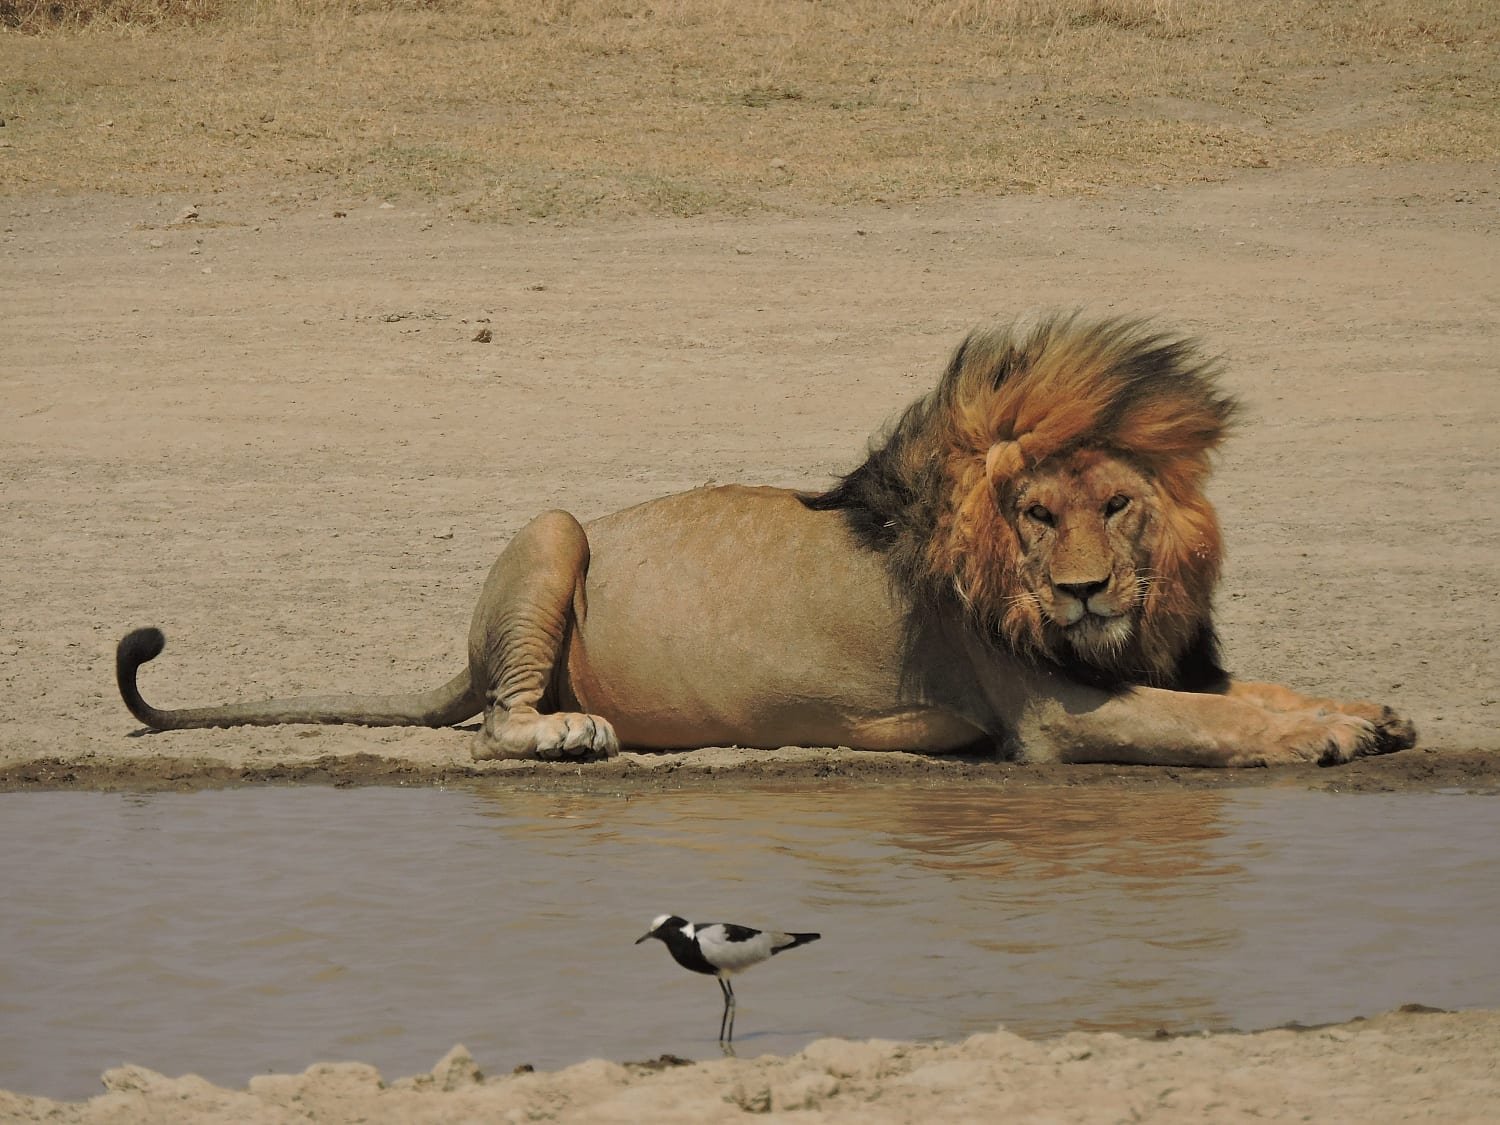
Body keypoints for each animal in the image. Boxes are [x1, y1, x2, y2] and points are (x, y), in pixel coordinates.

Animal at [117, 313, 1416, 767]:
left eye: (1120, 507)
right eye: (1036, 516)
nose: (1088, 594)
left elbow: (1253, 692)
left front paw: (1367, 711)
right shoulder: (1052, 715)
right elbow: (1215, 724)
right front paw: (1327, 738)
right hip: (553, 531)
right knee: (495, 718)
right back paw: (568, 732)